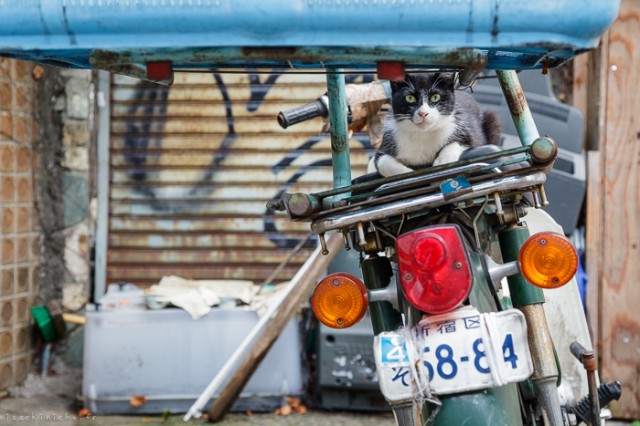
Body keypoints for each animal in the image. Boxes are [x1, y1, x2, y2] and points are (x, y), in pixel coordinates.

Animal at [370, 72, 500, 176]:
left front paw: (443, 161)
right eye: (410, 98)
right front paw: (406, 173)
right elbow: (381, 161)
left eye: (435, 97)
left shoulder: (466, 130)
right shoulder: (388, 142)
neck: (423, 133)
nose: (423, 113)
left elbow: (459, 141)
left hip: (491, 118)